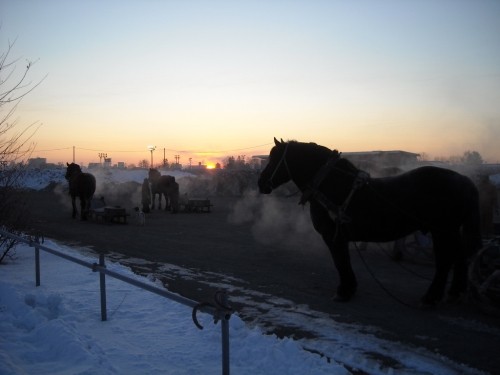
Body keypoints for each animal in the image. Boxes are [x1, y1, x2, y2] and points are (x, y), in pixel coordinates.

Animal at [258, 139, 480, 308]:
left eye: (274, 159)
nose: (261, 184)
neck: (332, 185)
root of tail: (465, 180)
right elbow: (343, 261)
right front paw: (349, 289)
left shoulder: (334, 236)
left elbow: (341, 262)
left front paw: (345, 290)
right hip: (450, 232)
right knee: (459, 258)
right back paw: (454, 293)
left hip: (442, 231)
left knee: (445, 261)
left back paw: (431, 297)